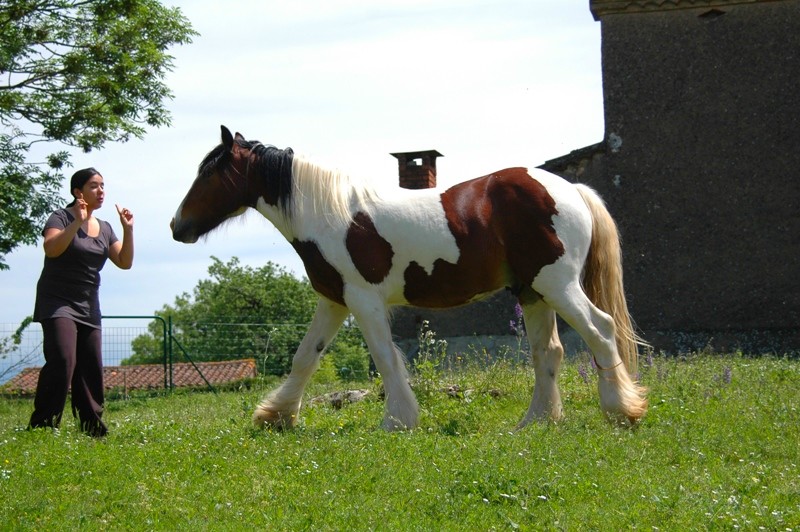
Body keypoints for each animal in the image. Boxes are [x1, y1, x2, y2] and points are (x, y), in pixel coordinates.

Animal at [172, 127, 648, 430]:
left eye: (210, 172)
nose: (178, 226)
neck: (329, 216)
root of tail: (572, 190)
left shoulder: (363, 301)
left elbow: (386, 358)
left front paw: (397, 420)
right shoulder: (334, 300)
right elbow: (306, 357)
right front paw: (277, 416)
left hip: (557, 285)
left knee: (601, 331)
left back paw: (621, 411)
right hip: (532, 291)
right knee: (548, 352)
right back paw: (534, 422)